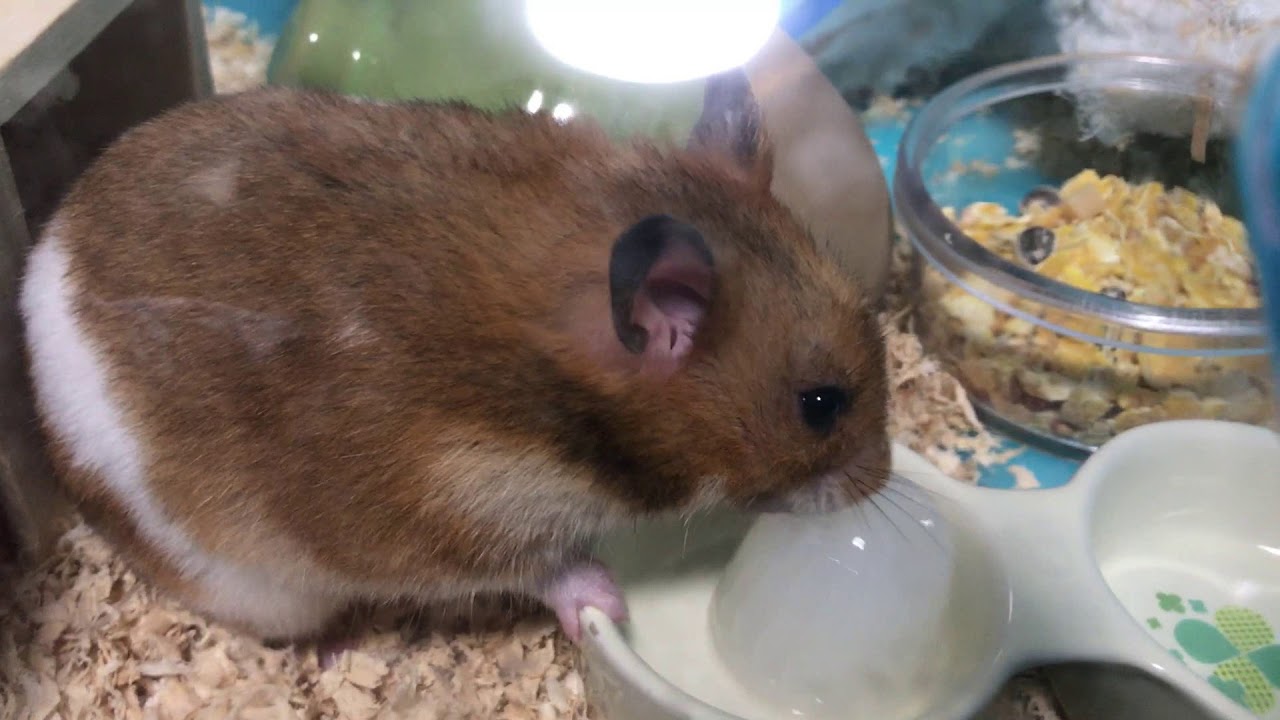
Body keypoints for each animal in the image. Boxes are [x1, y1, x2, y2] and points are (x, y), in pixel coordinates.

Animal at [17, 85, 890, 646]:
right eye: (822, 404)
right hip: (256, 586)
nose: (879, 482)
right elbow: (546, 570)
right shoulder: (456, 518)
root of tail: (39, 269)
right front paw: (607, 604)